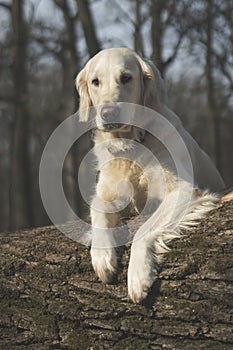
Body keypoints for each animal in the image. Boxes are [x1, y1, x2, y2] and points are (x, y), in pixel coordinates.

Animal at [75, 47, 225, 302]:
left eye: (126, 77)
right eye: (95, 82)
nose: (108, 113)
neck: (131, 145)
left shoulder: (182, 190)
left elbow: (144, 229)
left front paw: (138, 276)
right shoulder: (107, 193)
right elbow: (98, 210)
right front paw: (102, 257)